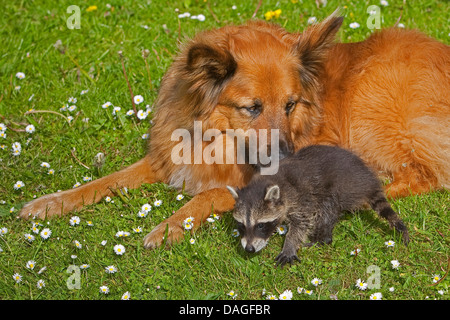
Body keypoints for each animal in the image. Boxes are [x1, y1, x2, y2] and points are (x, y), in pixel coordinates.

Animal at [19, 11, 450, 250]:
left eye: (290, 104)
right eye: (251, 107)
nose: (287, 158)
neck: (215, 139)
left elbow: (207, 195)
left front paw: (169, 226)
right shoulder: (165, 159)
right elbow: (103, 182)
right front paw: (50, 203)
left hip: (369, 108)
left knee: (423, 175)